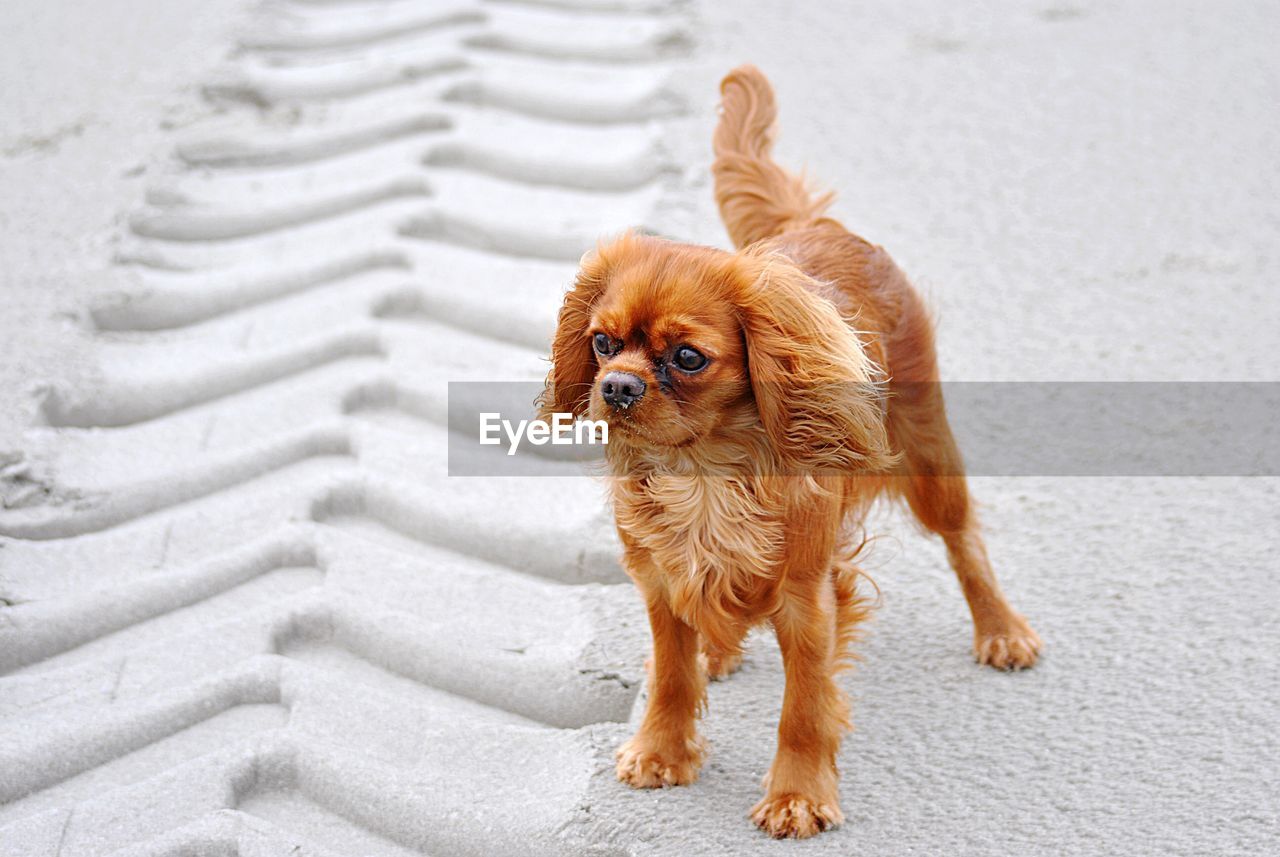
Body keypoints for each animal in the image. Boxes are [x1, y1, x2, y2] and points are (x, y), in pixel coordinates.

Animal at [537, 65, 1039, 839]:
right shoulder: (658, 581)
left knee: (964, 542)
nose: (616, 386)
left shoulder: (808, 598)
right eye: (601, 342)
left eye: (688, 357)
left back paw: (1001, 629)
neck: (705, 472)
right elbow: (670, 674)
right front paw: (662, 749)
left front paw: (797, 796)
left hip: (928, 454)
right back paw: (719, 647)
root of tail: (814, 227)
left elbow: (805, 704)